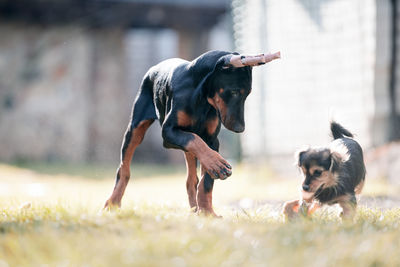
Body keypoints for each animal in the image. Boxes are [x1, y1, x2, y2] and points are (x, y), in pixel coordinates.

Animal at [106, 50, 282, 218]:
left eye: (247, 93)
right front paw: (216, 164)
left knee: (192, 178)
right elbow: (194, 141)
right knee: (124, 168)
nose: (240, 129)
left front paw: (207, 211)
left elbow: (206, 181)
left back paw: (195, 208)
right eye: (233, 92)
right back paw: (113, 203)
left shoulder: (212, 140)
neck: (201, 98)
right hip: (135, 128)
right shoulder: (168, 133)